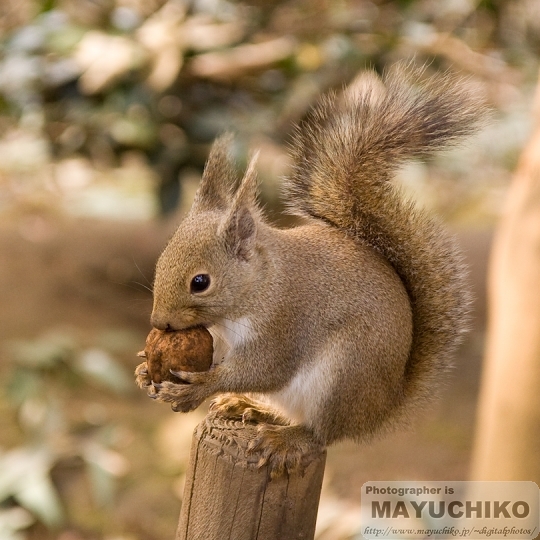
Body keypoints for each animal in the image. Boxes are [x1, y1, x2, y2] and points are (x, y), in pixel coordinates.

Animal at [137, 64, 488, 476]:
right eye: (161, 261)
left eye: (200, 282)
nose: (159, 322)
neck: (260, 286)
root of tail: (381, 410)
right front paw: (144, 370)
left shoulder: (283, 326)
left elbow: (263, 370)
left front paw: (197, 389)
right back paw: (250, 406)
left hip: (343, 373)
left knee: (321, 433)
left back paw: (285, 438)